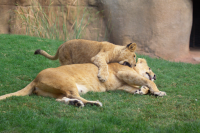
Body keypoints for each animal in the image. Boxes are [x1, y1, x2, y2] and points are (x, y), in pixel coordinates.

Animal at [0, 58, 166, 107]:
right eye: (150, 68)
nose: (156, 75)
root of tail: (35, 79)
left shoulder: (123, 85)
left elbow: (141, 86)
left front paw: (142, 91)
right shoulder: (123, 73)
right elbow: (147, 81)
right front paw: (158, 91)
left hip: (57, 91)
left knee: (61, 99)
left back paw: (75, 104)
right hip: (67, 82)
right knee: (76, 96)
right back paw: (94, 103)